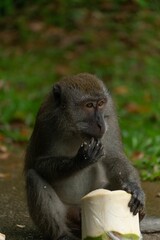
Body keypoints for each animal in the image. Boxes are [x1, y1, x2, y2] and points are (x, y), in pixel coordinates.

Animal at [24, 72, 146, 240]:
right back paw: (63, 235)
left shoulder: (110, 117)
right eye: (88, 105)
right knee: (33, 177)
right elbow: (39, 164)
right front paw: (81, 160)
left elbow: (115, 156)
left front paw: (134, 188)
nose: (100, 124)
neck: (73, 129)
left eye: (101, 103)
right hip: (67, 212)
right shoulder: (45, 122)